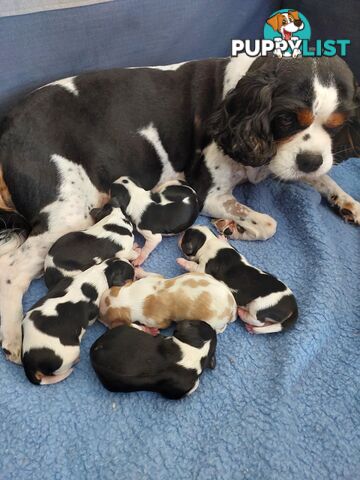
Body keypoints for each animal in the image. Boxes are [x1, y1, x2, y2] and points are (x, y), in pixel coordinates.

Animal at [100, 270, 238, 334]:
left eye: (105, 320)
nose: (99, 319)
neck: (128, 298)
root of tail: (233, 307)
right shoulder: (154, 278)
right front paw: (139, 271)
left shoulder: (157, 321)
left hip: (213, 322)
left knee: (221, 328)